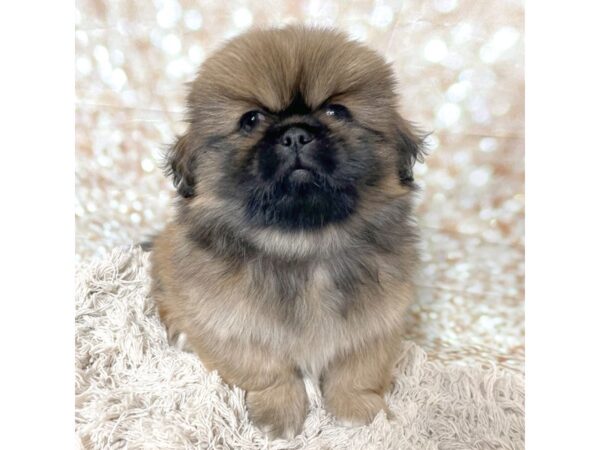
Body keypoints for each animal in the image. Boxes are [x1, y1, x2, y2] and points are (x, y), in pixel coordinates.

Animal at [152, 25, 424, 440]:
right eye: (251, 120)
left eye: (336, 111)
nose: (295, 134)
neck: (303, 247)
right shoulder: (231, 324)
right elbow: (267, 370)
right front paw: (278, 413)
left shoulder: (378, 320)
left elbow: (357, 369)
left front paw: (356, 410)